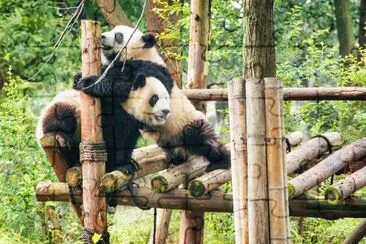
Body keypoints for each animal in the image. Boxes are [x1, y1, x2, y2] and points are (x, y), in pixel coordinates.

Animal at [36, 58, 174, 173]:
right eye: (155, 98)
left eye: (166, 97)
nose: (166, 111)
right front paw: (119, 166)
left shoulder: (132, 123)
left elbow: (127, 139)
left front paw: (128, 163)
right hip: (64, 109)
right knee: (62, 117)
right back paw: (61, 138)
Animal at [85, 24, 229, 172]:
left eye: (119, 36)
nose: (102, 36)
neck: (140, 54)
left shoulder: (151, 71)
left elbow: (126, 88)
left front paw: (89, 82)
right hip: (167, 137)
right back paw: (176, 158)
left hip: (188, 121)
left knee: (199, 138)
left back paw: (221, 160)